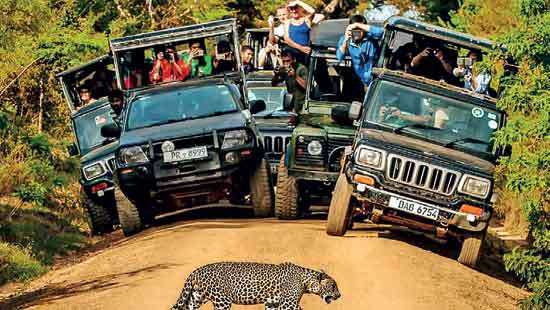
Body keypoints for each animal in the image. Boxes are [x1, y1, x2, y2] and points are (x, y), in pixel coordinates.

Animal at [170, 262, 342, 308]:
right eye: (333, 286)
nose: (340, 296)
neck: (306, 280)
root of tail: (197, 270)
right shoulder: (288, 304)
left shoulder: (272, 303)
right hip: (222, 301)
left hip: (195, 298)